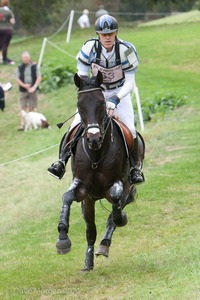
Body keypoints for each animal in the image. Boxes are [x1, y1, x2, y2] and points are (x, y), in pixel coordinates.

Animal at [55, 71, 145, 270]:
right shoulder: (82, 188)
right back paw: (88, 262)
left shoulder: (119, 184)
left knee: (114, 212)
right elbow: (67, 197)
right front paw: (62, 239)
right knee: (91, 230)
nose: (93, 138)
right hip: (89, 201)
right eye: (80, 105)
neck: (96, 154)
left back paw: (104, 244)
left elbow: (116, 203)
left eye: (102, 103)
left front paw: (121, 218)